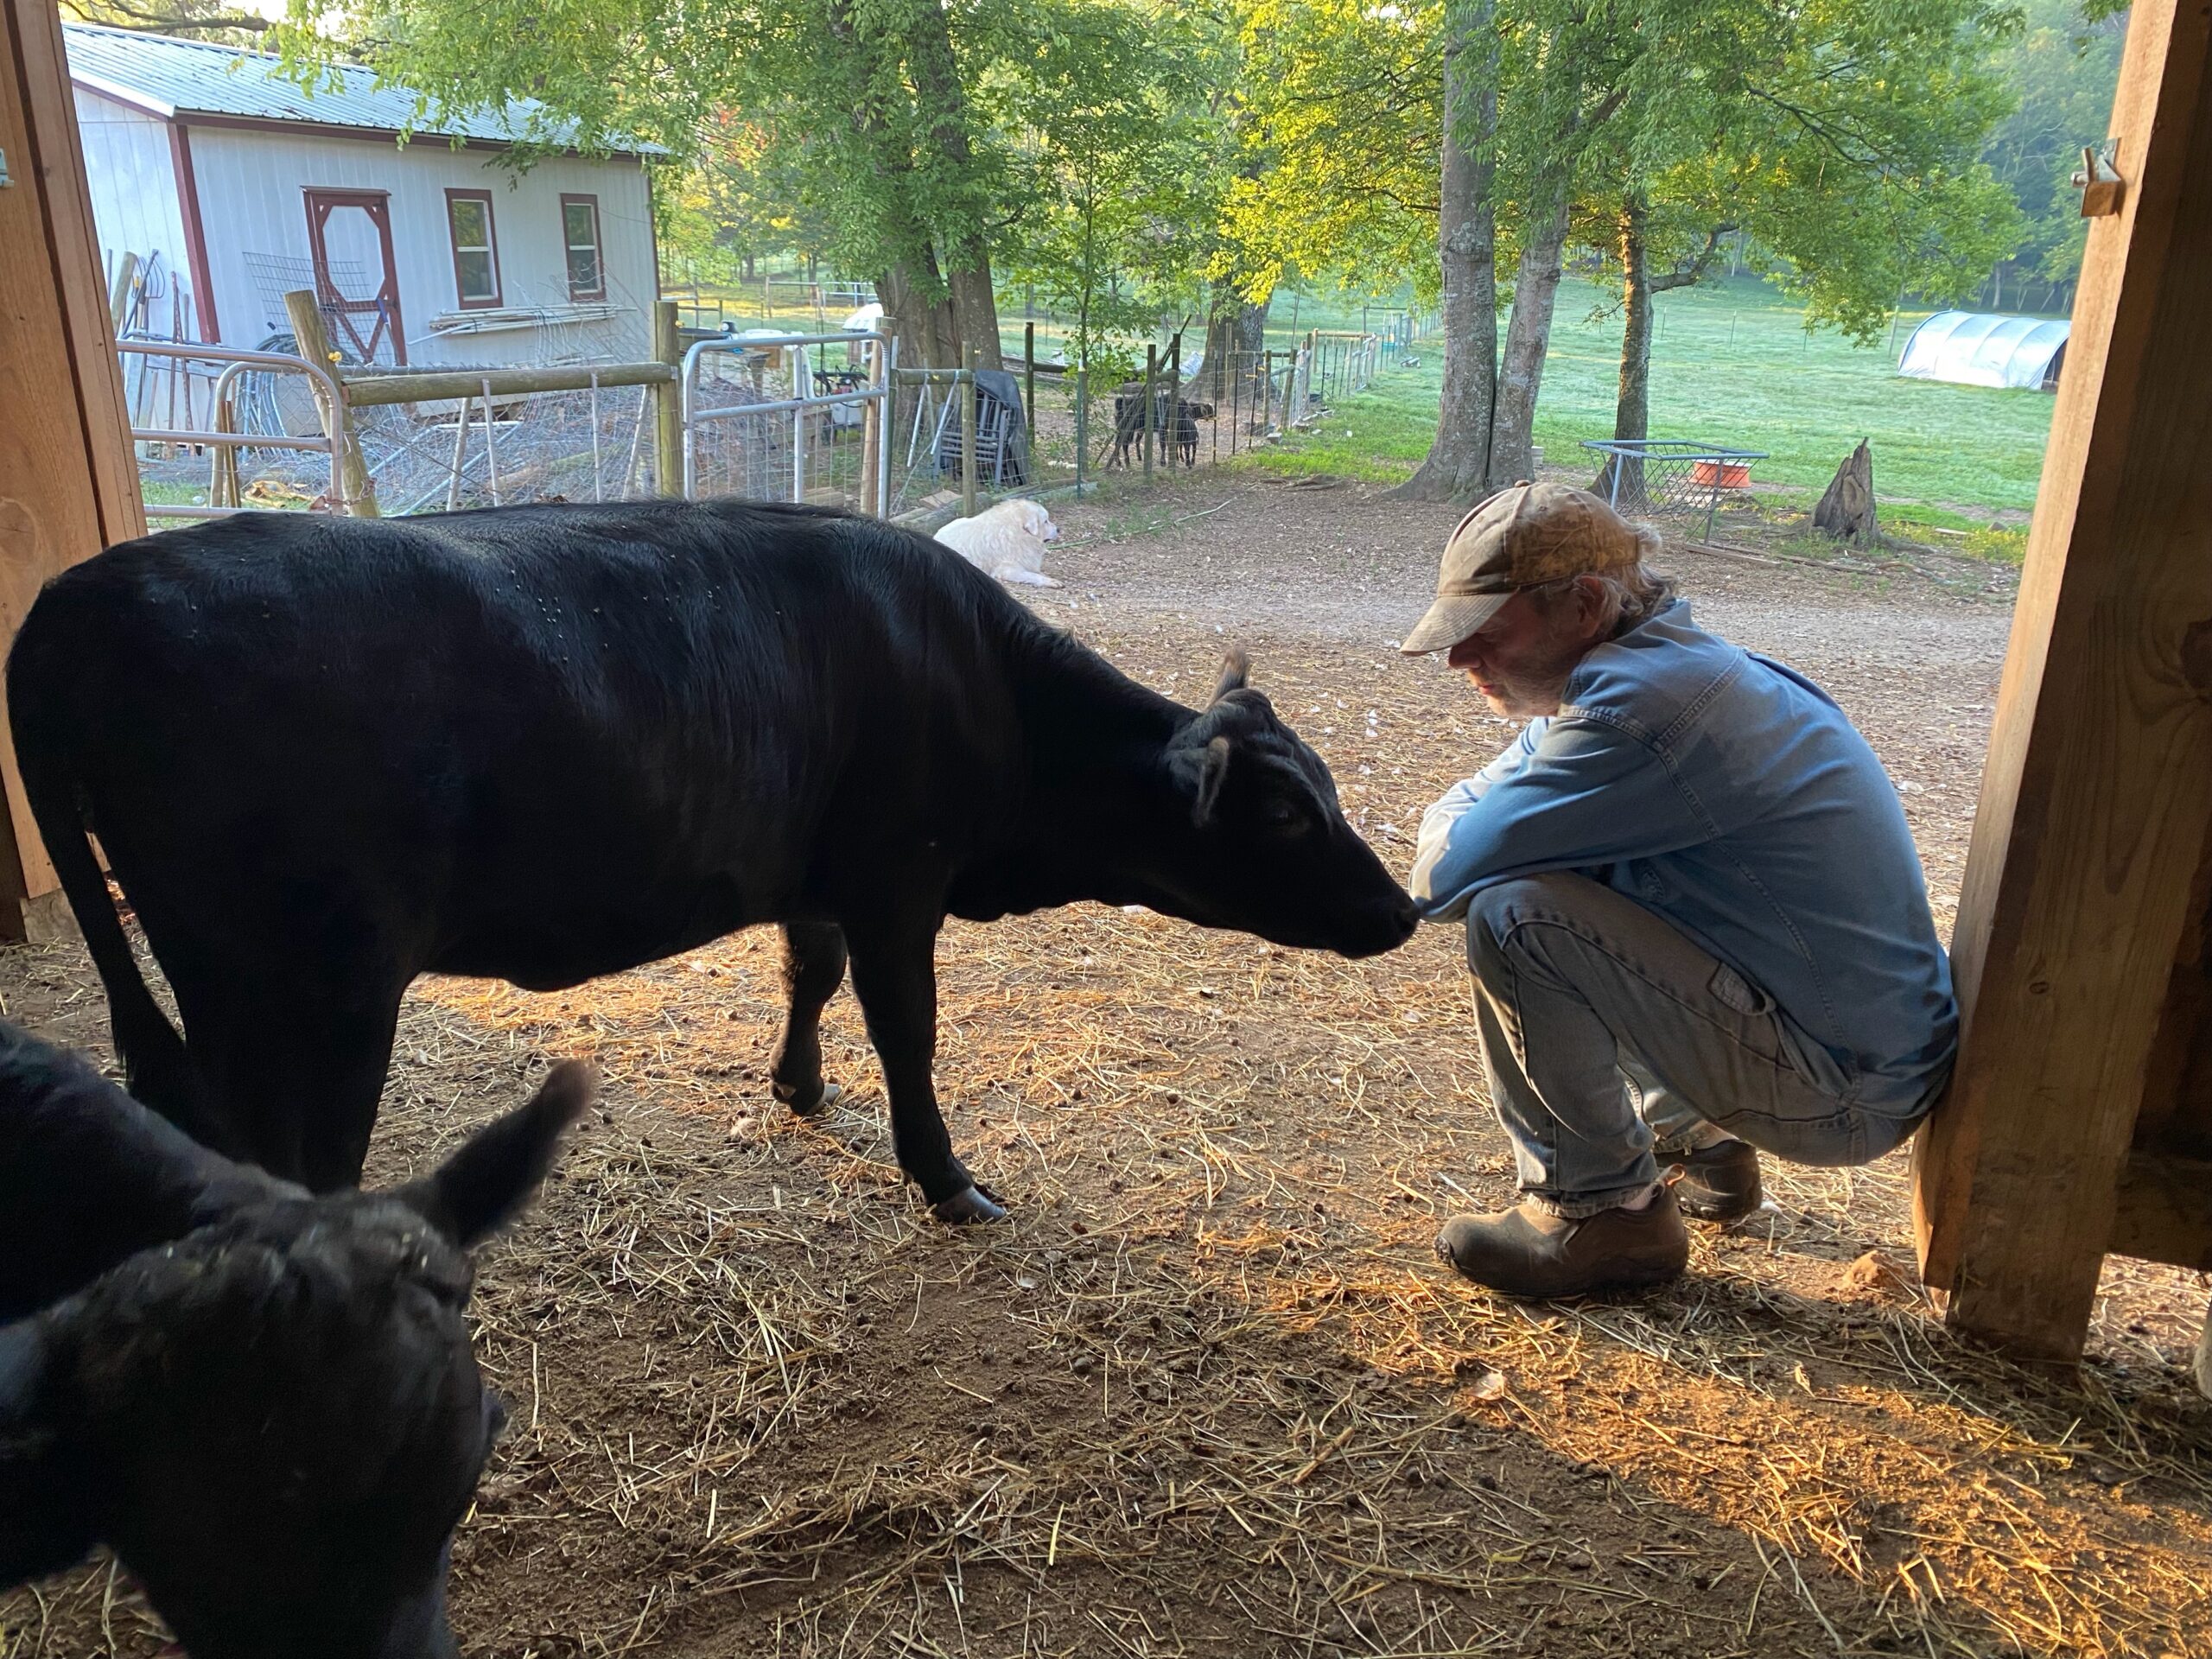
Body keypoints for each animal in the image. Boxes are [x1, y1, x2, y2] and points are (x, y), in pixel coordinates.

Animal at [9, 500, 1417, 1225]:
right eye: (1285, 819)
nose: (1403, 910)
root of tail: (74, 601)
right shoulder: (901, 878)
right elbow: (907, 1028)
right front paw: (944, 1177)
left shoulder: (821, 873)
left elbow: (807, 973)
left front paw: (797, 1086)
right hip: (309, 997)